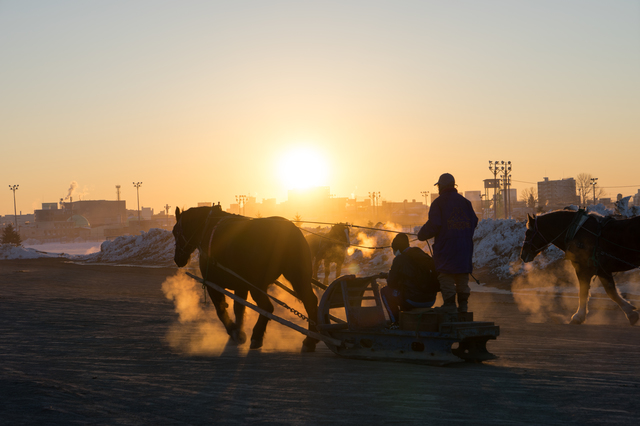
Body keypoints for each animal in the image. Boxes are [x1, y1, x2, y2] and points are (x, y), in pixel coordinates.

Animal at [172, 205, 320, 352]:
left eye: (174, 231)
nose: (177, 259)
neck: (208, 228)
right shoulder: (241, 285)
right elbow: (239, 309)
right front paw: (239, 330)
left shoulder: (212, 283)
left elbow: (221, 310)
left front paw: (234, 331)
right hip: (298, 277)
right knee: (310, 302)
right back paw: (310, 340)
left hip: (258, 285)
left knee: (268, 308)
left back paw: (257, 337)